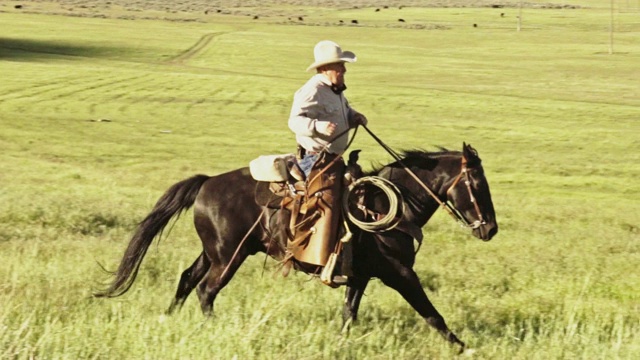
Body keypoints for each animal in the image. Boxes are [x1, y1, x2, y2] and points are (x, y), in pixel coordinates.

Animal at [95, 143, 498, 352]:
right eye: (478, 185)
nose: (490, 229)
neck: (387, 205)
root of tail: (207, 182)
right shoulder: (399, 273)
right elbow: (432, 314)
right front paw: (464, 347)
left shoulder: (360, 276)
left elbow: (348, 315)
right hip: (229, 257)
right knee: (206, 290)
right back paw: (214, 328)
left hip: (213, 252)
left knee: (186, 279)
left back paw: (169, 317)